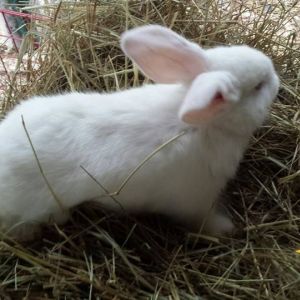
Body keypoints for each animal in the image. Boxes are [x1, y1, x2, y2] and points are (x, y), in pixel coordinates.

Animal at [0, 26, 278, 241]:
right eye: (258, 86)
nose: (275, 74)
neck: (204, 125)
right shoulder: (195, 202)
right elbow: (204, 220)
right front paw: (226, 229)